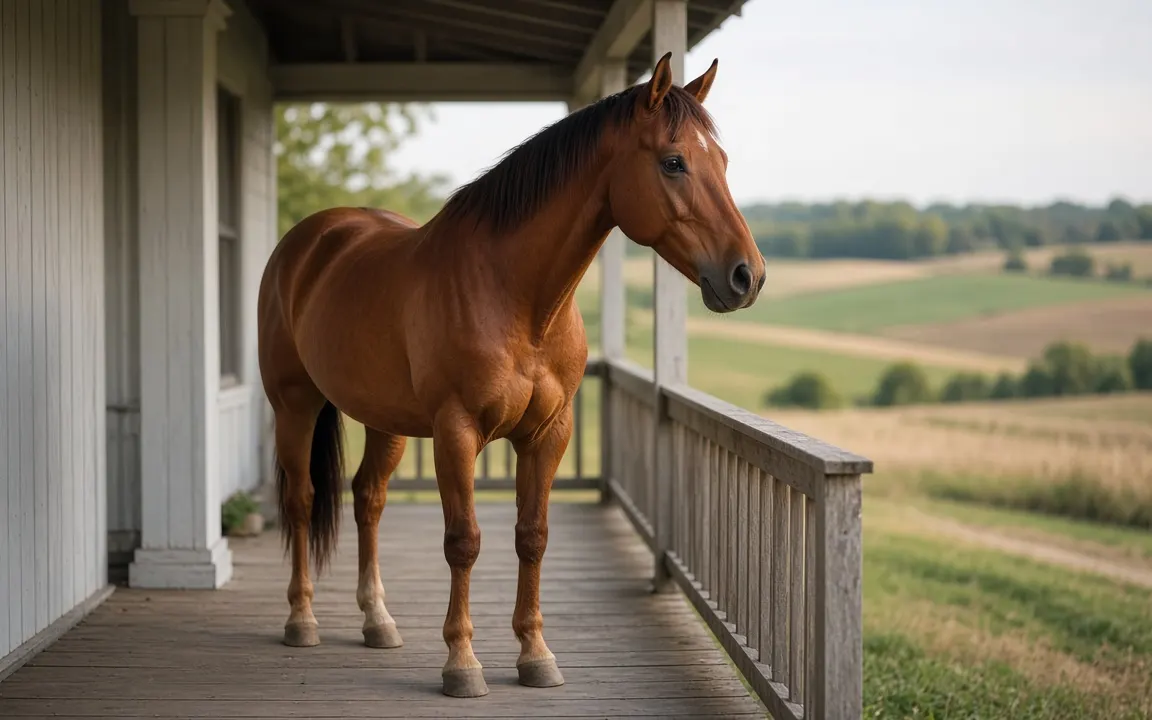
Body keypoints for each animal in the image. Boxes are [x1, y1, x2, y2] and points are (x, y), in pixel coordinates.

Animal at [256, 51, 766, 699]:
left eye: (720, 160)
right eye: (674, 161)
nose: (747, 275)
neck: (517, 298)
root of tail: (309, 240)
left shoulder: (548, 433)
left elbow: (533, 536)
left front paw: (535, 654)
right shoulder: (456, 433)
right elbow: (465, 542)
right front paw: (462, 663)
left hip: (385, 422)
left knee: (368, 499)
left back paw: (378, 620)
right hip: (293, 405)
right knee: (300, 501)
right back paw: (301, 619)